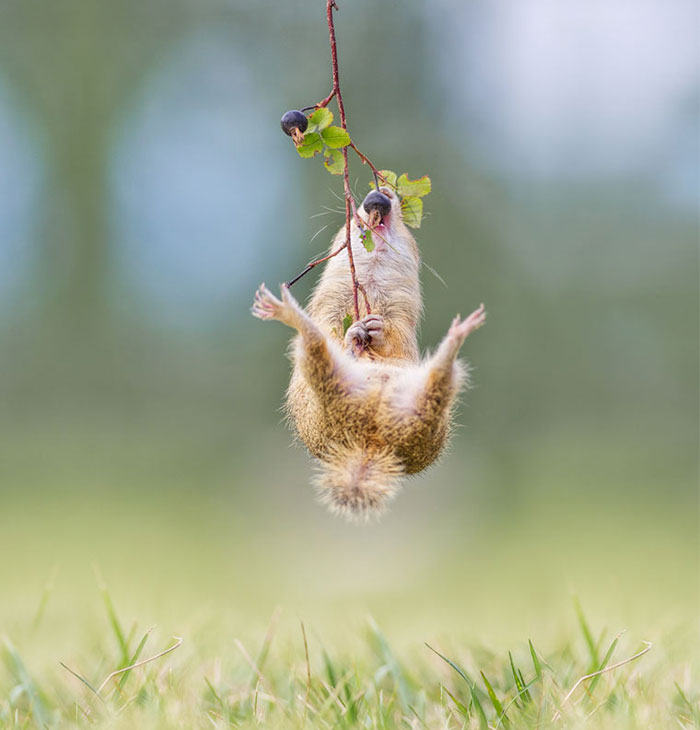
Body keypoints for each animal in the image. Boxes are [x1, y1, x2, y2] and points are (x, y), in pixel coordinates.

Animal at [252, 187, 486, 520]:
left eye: (409, 234)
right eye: (349, 223)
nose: (379, 197)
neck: (371, 288)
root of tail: (369, 442)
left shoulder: (403, 322)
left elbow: (397, 338)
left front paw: (378, 328)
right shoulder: (329, 312)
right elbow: (331, 331)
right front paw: (356, 332)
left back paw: (458, 332)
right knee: (315, 340)